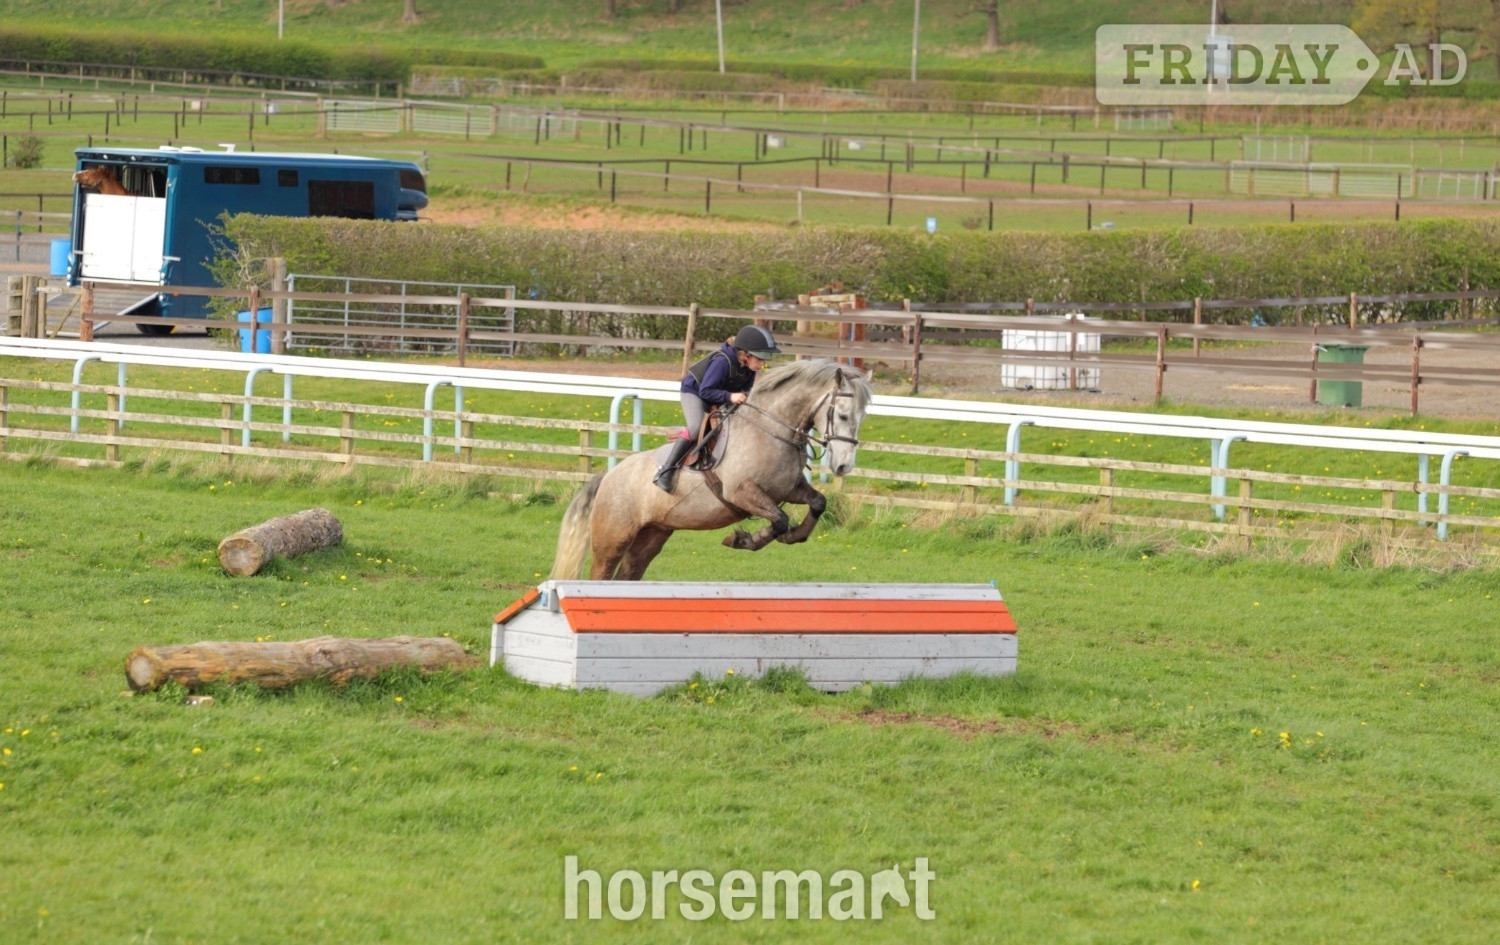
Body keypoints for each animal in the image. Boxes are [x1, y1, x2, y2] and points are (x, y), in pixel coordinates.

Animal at [550, 358, 873, 581]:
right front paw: (742, 539)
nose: (843, 465)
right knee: (602, 573)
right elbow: (779, 519)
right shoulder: (742, 493)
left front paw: (793, 537)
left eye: (861, 418)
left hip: (652, 535)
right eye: (843, 415)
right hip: (612, 539)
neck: (772, 430)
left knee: (628, 574)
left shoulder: (788, 489)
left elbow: (817, 502)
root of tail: (608, 477)